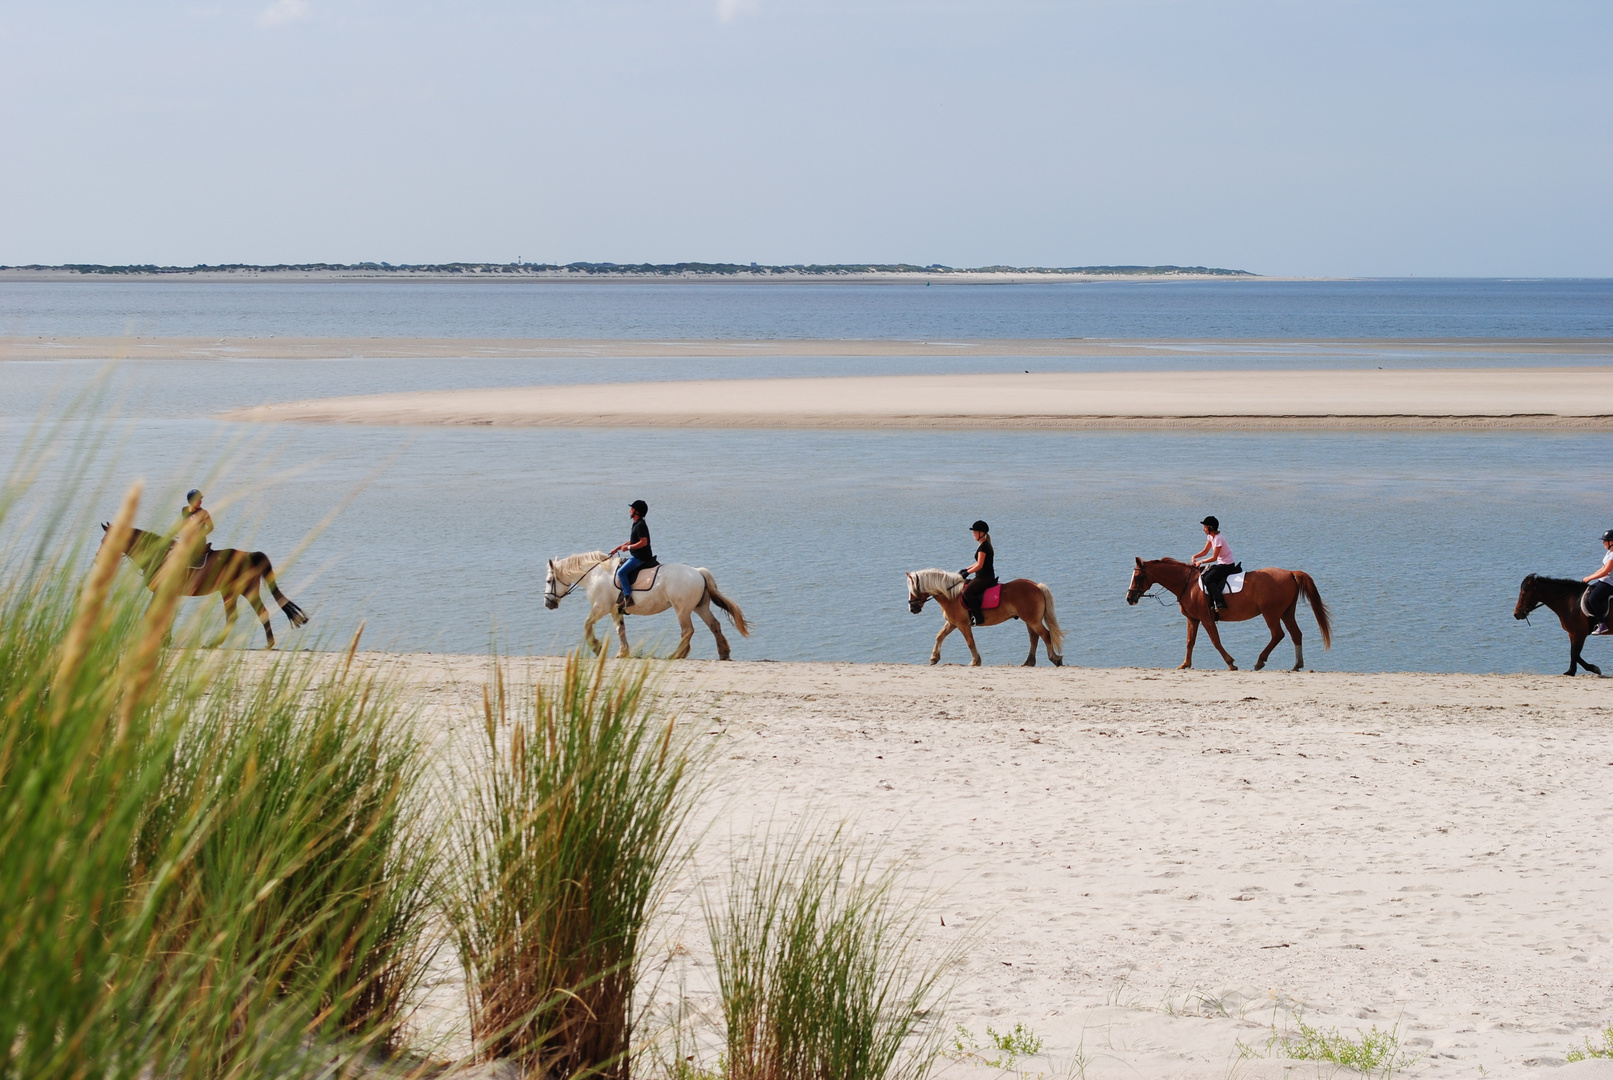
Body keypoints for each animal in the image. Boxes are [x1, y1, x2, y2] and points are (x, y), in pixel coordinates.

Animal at [98, 522, 308, 648]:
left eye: (107, 540)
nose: (99, 558)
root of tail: (249, 555)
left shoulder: (162, 592)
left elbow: (153, 615)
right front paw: (164, 640)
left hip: (245, 590)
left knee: (259, 613)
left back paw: (267, 644)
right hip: (232, 591)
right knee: (235, 616)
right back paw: (217, 643)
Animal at [538, 554, 745, 664]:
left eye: (548, 581)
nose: (548, 604)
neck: (596, 575)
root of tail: (698, 572)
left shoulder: (601, 608)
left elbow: (587, 624)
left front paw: (597, 647)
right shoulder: (615, 611)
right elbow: (621, 630)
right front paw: (622, 652)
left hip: (682, 609)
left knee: (687, 631)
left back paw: (676, 655)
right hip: (699, 607)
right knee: (714, 625)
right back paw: (723, 653)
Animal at [903, 567, 1064, 667]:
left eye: (913, 590)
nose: (912, 609)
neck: (951, 595)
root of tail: (1036, 586)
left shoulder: (962, 624)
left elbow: (970, 642)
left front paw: (975, 661)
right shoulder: (952, 623)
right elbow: (939, 636)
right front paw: (934, 658)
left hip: (1033, 620)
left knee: (1045, 635)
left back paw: (1055, 659)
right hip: (1029, 620)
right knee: (1034, 638)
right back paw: (1029, 662)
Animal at [1129, 554, 1329, 673]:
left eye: (1138, 577)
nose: (1129, 598)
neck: (1188, 584)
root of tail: (1290, 573)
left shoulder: (1206, 618)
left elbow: (1215, 641)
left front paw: (1231, 663)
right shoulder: (1193, 619)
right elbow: (1189, 642)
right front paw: (1185, 664)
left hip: (1271, 613)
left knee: (1278, 634)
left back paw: (1260, 661)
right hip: (1286, 612)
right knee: (1296, 634)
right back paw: (1296, 665)